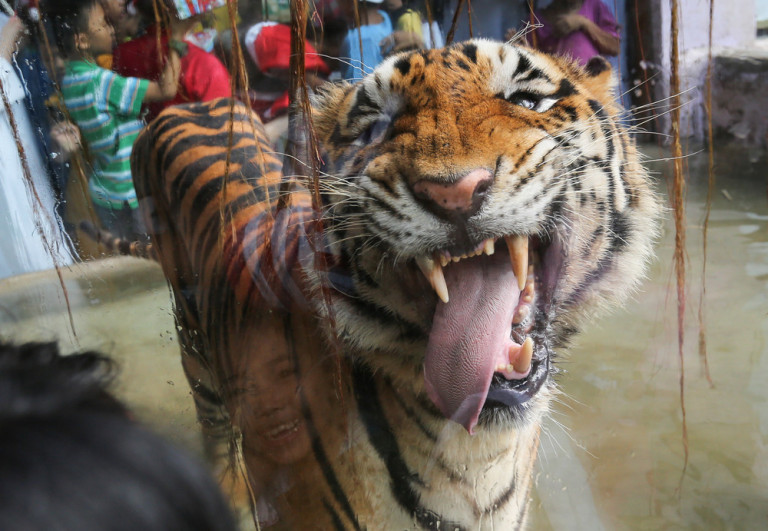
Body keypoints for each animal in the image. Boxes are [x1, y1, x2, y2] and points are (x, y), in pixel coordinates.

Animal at [103, 39, 660, 528]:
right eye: (374, 128)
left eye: (526, 100)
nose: (455, 191)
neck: (475, 449)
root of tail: (187, 105)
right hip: (194, 348)